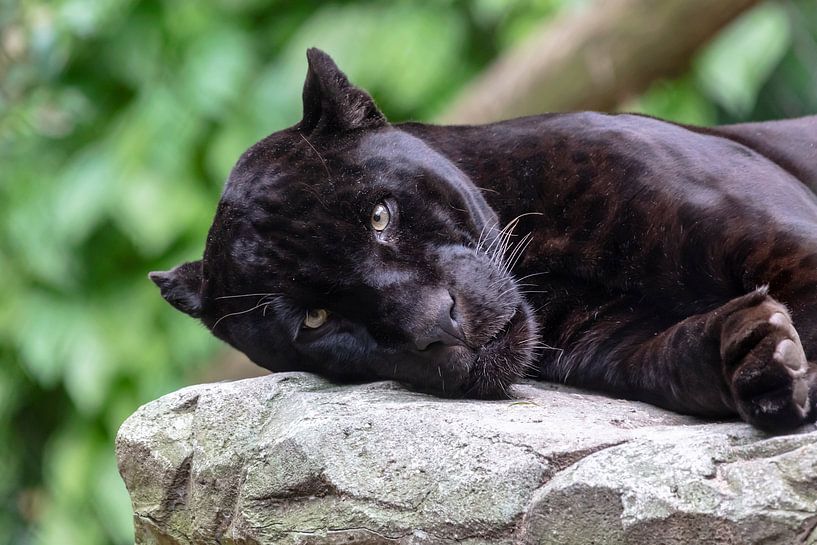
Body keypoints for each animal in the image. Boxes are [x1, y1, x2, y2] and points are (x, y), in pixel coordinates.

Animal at [151, 48, 817, 432]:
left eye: (379, 217)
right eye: (315, 319)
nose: (437, 326)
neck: (550, 265)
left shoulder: (789, 245)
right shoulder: (617, 340)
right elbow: (679, 355)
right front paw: (756, 360)